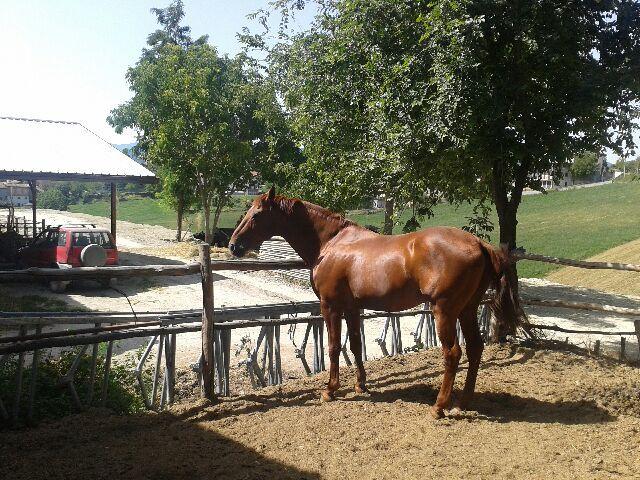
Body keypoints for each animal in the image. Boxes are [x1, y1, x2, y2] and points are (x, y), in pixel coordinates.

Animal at [229, 187, 526, 418]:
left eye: (256, 214)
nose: (233, 245)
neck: (331, 243)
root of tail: (479, 244)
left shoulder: (330, 306)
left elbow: (334, 347)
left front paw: (330, 390)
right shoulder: (352, 307)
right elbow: (355, 345)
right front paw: (361, 385)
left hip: (444, 311)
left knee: (453, 354)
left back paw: (439, 407)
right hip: (467, 309)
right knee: (475, 348)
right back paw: (462, 403)